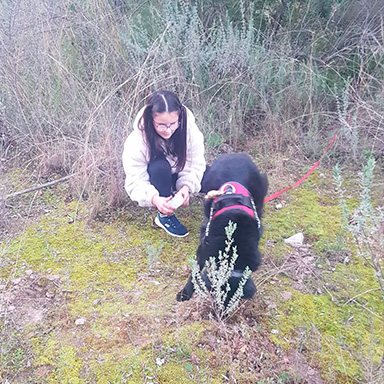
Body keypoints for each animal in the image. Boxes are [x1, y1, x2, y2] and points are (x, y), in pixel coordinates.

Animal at [176, 153, 268, 306]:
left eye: (231, 302)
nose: (220, 312)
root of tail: (237, 155)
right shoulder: (204, 248)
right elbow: (195, 272)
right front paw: (185, 293)